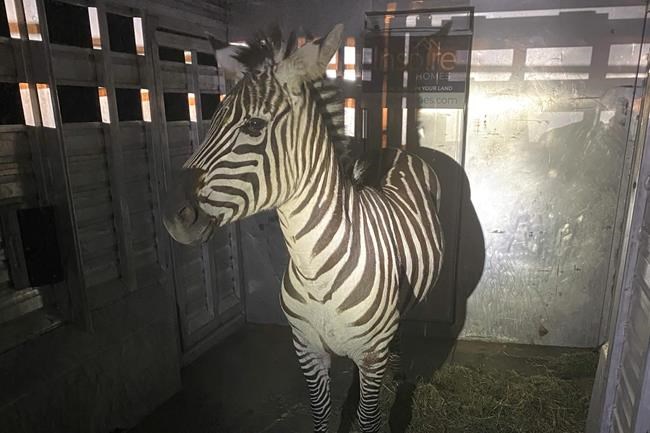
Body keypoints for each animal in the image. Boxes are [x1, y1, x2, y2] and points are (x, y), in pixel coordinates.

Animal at [163, 24, 444, 433]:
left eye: (253, 125)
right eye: (212, 120)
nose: (173, 216)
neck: (316, 271)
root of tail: (391, 150)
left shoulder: (371, 353)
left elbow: (368, 422)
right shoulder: (307, 349)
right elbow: (321, 417)